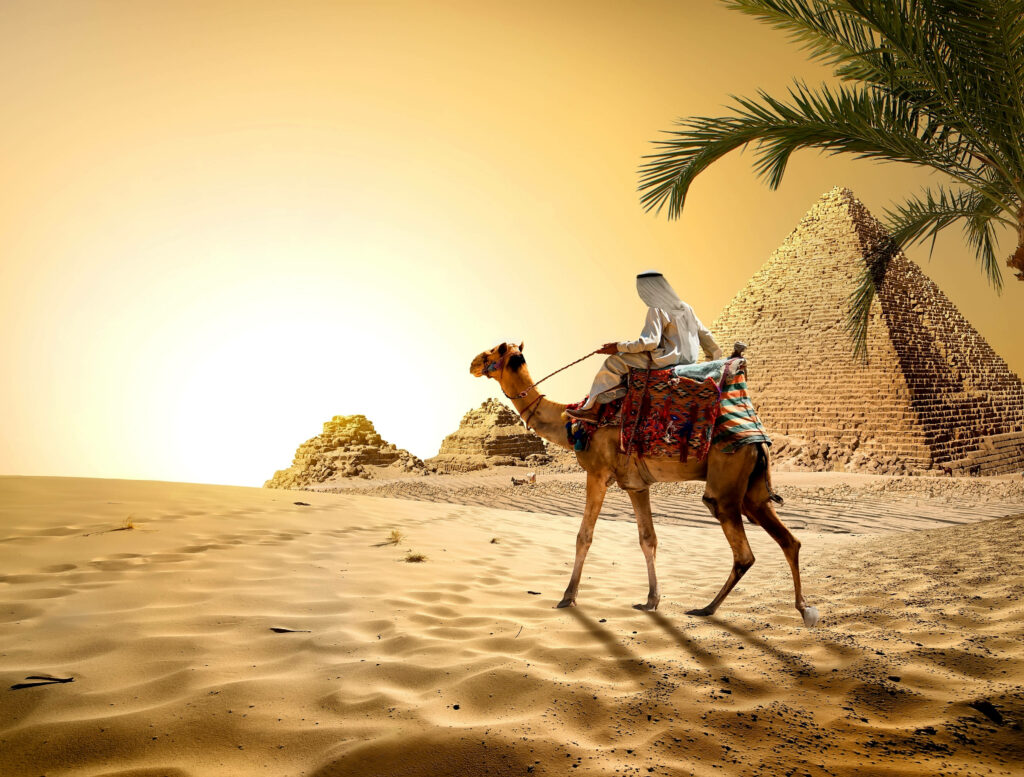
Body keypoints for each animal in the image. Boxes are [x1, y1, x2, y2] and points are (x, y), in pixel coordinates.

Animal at [470, 342, 819, 627]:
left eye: (492, 351)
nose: (472, 363)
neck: (570, 422)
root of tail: (758, 437)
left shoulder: (597, 473)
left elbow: (584, 537)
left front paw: (567, 597)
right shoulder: (637, 485)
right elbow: (648, 539)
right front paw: (651, 600)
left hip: (726, 482)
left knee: (743, 551)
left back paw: (706, 609)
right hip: (752, 492)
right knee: (790, 541)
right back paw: (803, 609)